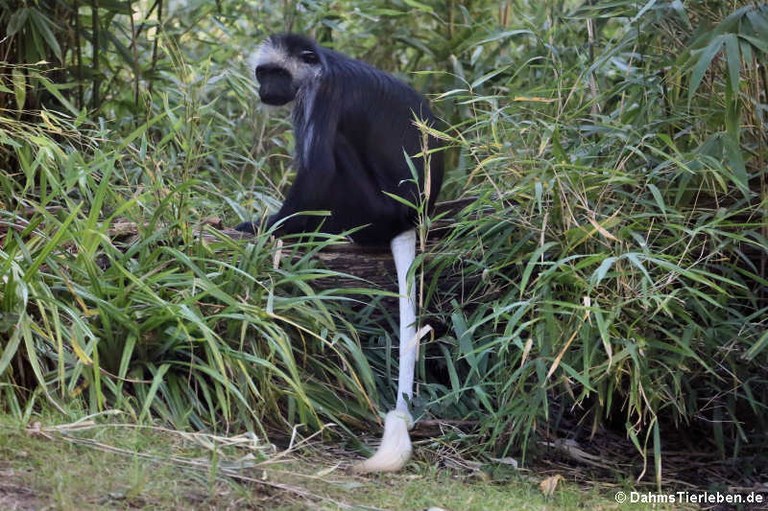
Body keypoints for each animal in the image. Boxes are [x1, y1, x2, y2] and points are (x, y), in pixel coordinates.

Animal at [238, 33, 444, 472]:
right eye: (264, 73)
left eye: (278, 74)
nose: (266, 90)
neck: (322, 65)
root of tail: (411, 219)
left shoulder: (322, 94)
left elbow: (316, 171)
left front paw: (259, 227)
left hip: (372, 210)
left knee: (336, 153)